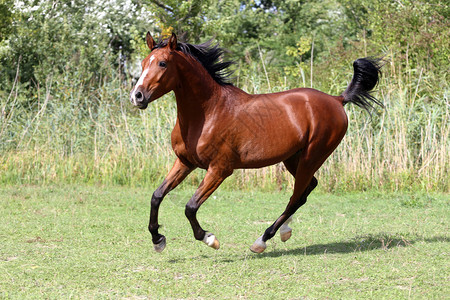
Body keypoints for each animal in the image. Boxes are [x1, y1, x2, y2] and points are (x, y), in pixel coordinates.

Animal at [130, 32, 384, 253]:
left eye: (163, 63)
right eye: (143, 63)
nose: (137, 96)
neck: (208, 113)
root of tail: (337, 100)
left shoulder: (220, 169)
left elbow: (190, 207)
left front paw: (210, 238)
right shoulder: (185, 162)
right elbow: (156, 196)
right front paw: (158, 240)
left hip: (312, 157)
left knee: (296, 195)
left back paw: (262, 240)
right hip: (293, 159)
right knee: (305, 190)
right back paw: (284, 230)